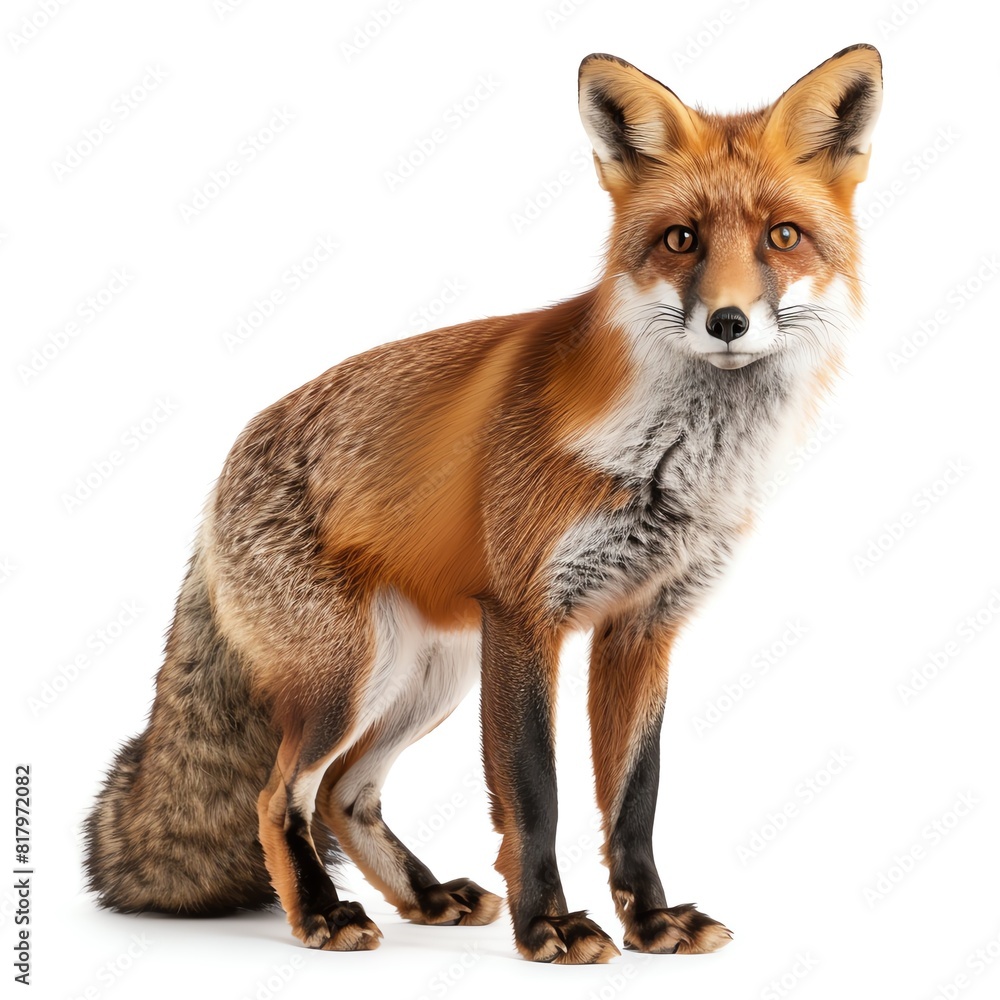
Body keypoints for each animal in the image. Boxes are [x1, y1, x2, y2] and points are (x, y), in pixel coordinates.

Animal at [85, 45, 882, 963]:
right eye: (680, 240)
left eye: (782, 237)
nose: (726, 321)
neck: (670, 463)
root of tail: (222, 471)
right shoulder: (526, 614)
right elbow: (536, 794)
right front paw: (549, 927)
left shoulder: (642, 627)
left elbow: (635, 798)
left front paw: (650, 921)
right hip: (352, 677)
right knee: (280, 794)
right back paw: (321, 913)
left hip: (429, 677)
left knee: (344, 793)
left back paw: (425, 898)